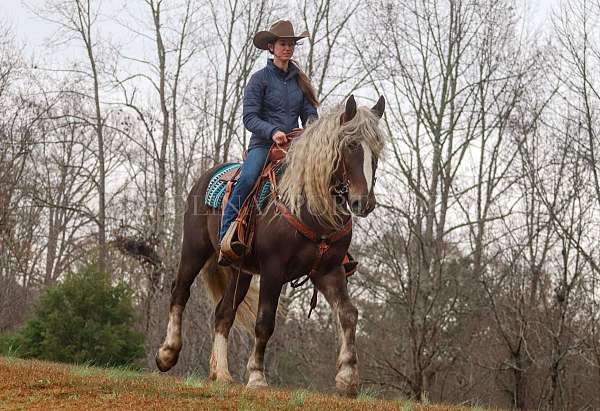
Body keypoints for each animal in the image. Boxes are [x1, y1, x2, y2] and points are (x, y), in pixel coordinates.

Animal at [155, 95, 386, 398]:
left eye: (377, 149)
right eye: (351, 145)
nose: (364, 202)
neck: (310, 207)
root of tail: (206, 176)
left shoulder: (328, 270)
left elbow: (348, 314)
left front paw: (348, 378)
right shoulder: (273, 270)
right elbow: (265, 321)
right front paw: (256, 376)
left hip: (240, 272)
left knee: (223, 313)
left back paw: (222, 374)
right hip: (194, 250)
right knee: (180, 292)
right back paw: (168, 353)